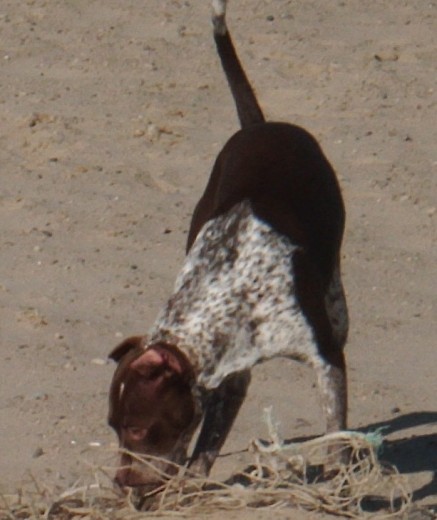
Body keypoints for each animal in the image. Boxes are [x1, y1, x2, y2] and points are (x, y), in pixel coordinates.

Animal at [108, 0, 348, 488]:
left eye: (137, 428)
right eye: (112, 426)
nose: (121, 481)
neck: (228, 283)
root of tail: (262, 125)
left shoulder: (326, 359)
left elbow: (335, 429)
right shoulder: (229, 376)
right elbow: (206, 442)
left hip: (337, 303)